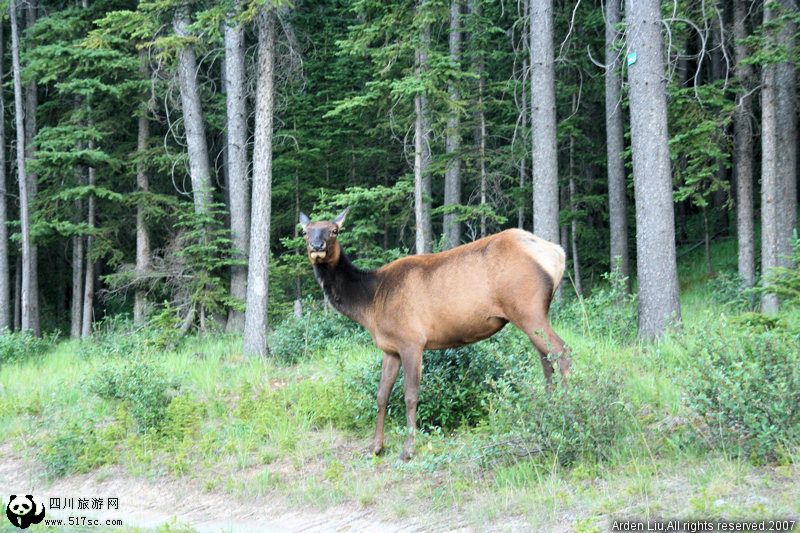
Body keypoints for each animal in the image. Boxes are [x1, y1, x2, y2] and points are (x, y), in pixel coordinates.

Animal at [300, 206, 568, 460]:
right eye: (305, 231)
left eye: (334, 230)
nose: (317, 246)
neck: (371, 303)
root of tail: (557, 253)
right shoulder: (390, 348)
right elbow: (381, 395)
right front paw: (376, 447)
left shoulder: (411, 341)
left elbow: (410, 395)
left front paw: (408, 450)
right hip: (531, 314)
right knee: (546, 359)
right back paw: (548, 407)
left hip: (527, 309)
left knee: (562, 351)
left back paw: (565, 408)